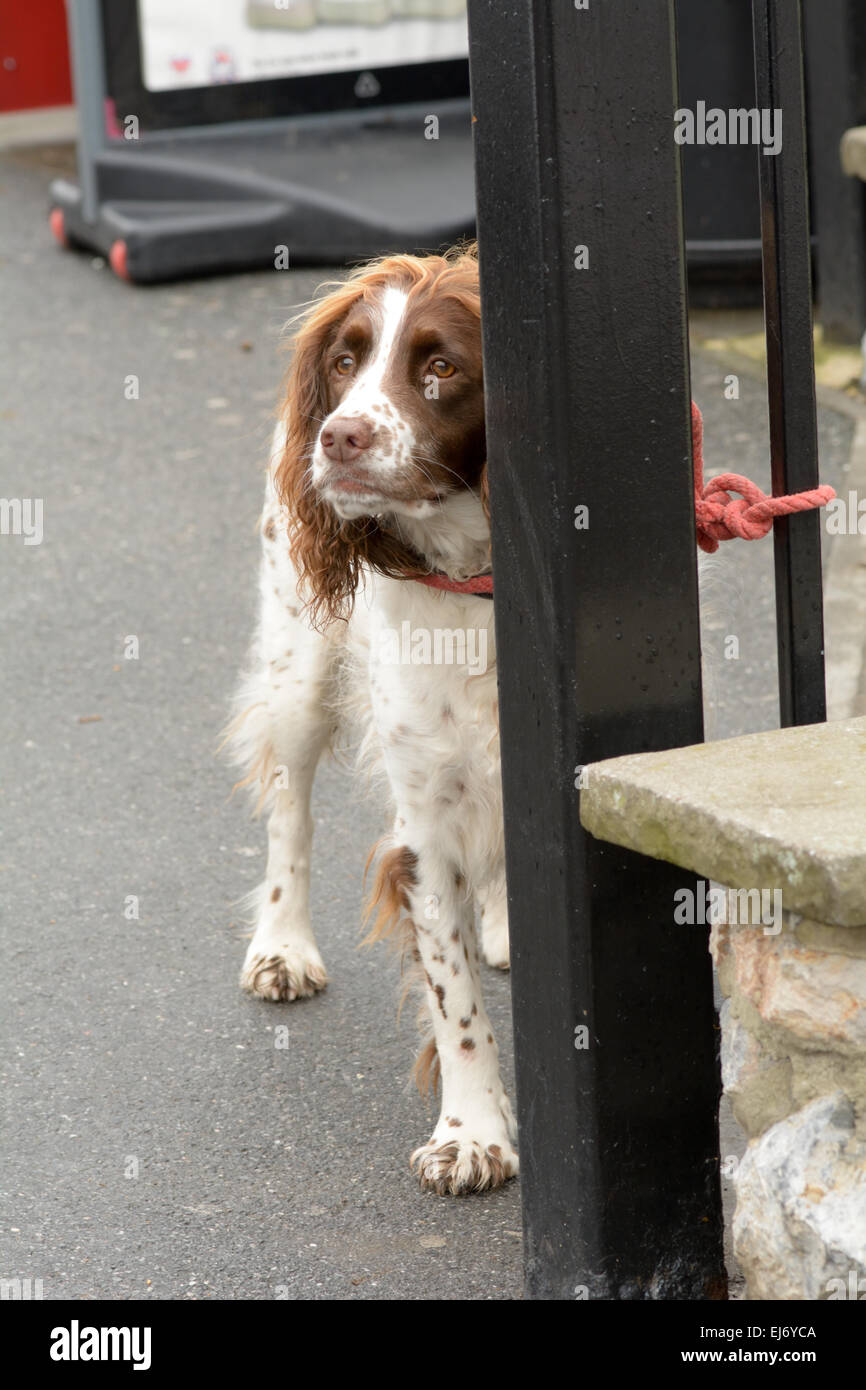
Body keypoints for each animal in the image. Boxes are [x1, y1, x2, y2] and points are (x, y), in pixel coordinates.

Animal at [226, 241, 517, 1195]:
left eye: (443, 367)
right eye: (348, 362)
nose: (339, 436)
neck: (478, 587)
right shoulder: (422, 826)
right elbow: (457, 1005)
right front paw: (473, 1135)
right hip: (298, 672)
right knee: (289, 814)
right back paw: (281, 947)